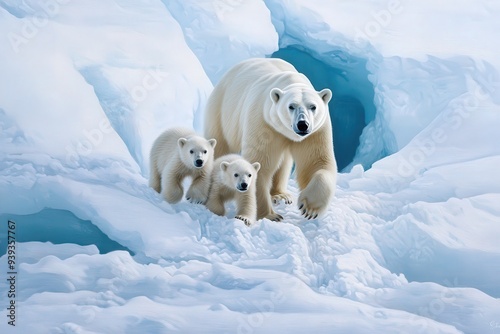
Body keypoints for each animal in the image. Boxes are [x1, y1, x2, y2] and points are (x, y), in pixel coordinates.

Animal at [205, 58, 338, 222]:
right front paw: (271, 215)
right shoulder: (264, 123)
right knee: (220, 146)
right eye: (291, 106)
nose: (302, 124)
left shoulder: (316, 131)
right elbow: (260, 163)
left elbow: (317, 162)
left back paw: (280, 195)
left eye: (313, 106)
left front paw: (309, 207)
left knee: (284, 162)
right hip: (222, 111)